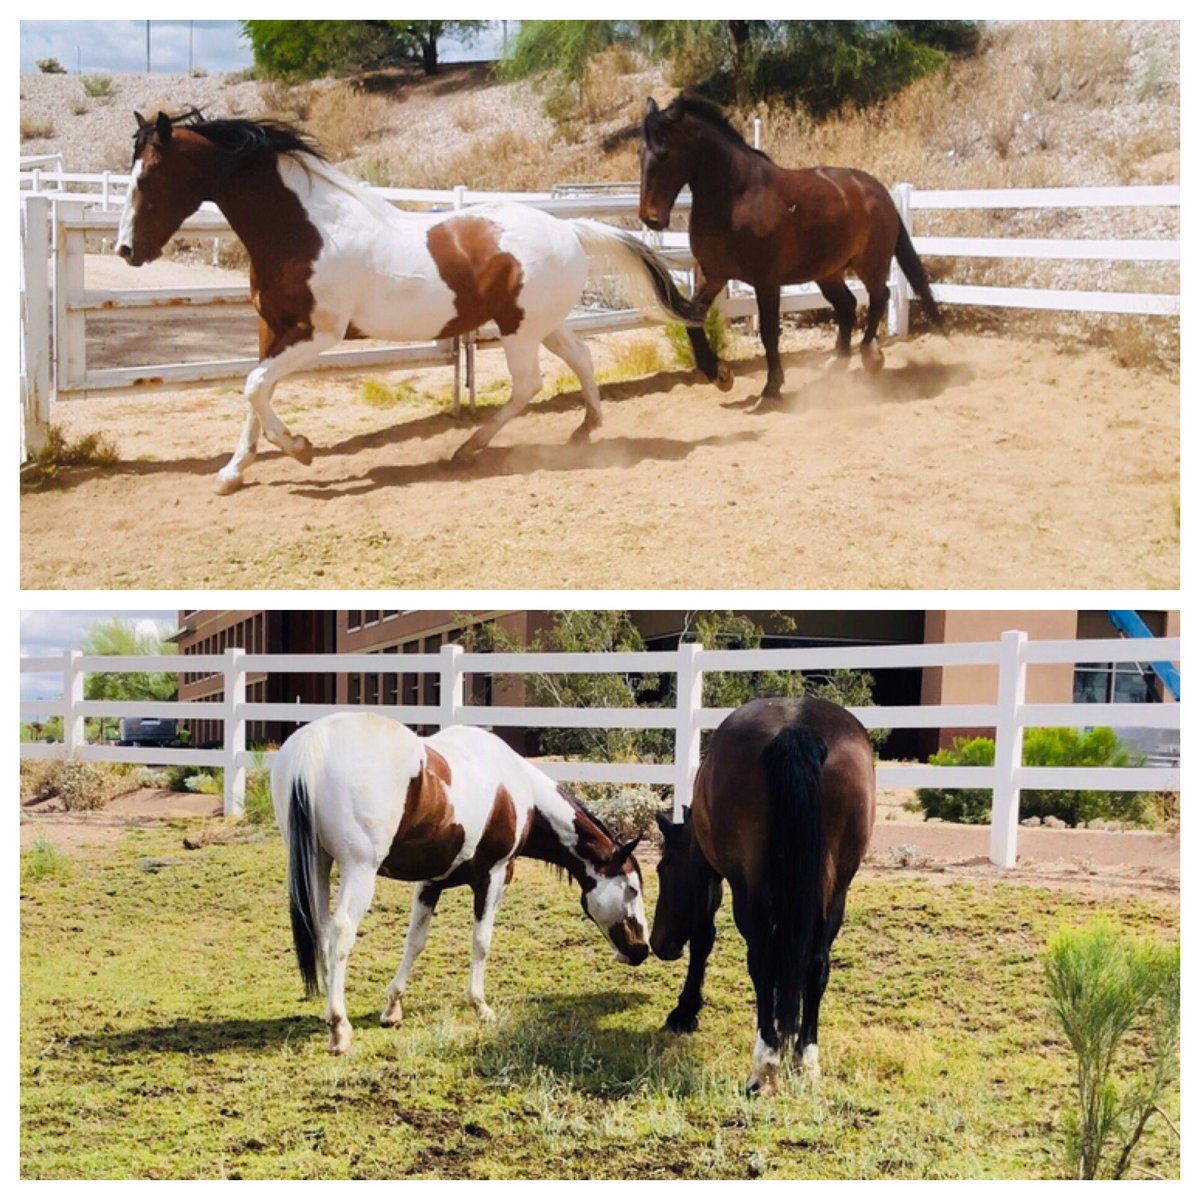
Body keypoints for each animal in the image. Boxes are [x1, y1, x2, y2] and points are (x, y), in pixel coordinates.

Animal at [116, 110, 705, 494]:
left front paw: (302, 450)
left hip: (519, 330)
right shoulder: (271, 328)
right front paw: (232, 474)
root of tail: (572, 230)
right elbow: (254, 395)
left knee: (527, 385)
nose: (126, 250)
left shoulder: (318, 333)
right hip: (540, 323)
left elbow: (255, 387)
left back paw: (467, 449)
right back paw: (585, 429)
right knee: (580, 359)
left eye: (149, 176)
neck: (305, 230)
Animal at [271, 712, 648, 1055]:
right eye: (632, 889)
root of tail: (313, 748)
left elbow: (415, 941)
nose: (641, 950)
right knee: (340, 934)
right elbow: (481, 941)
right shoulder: (494, 876)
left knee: (321, 930)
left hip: (318, 865)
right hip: (358, 871)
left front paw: (393, 1008)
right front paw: (480, 1006)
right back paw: (339, 1027)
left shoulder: (430, 882)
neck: (515, 788)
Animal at [639, 93, 944, 404]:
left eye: (665, 153)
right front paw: (721, 375)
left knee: (879, 297)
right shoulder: (712, 274)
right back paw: (837, 365)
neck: (737, 197)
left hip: (870, 265)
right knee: (848, 305)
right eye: (641, 153)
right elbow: (692, 321)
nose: (650, 218)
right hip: (827, 272)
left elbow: (769, 332)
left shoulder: (766, 281)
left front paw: (771, 388)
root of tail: (881, 193)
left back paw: (871, 356)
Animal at [650, 696, 875, 1095]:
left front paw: (685, 1011)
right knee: (816, 964)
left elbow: (704, 938)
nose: (658, 944)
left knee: (763, 963)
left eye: (663, 869)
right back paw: (805, 1059)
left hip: (750, 890)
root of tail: (795, 729)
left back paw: (765, 1065)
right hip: (835, 891)